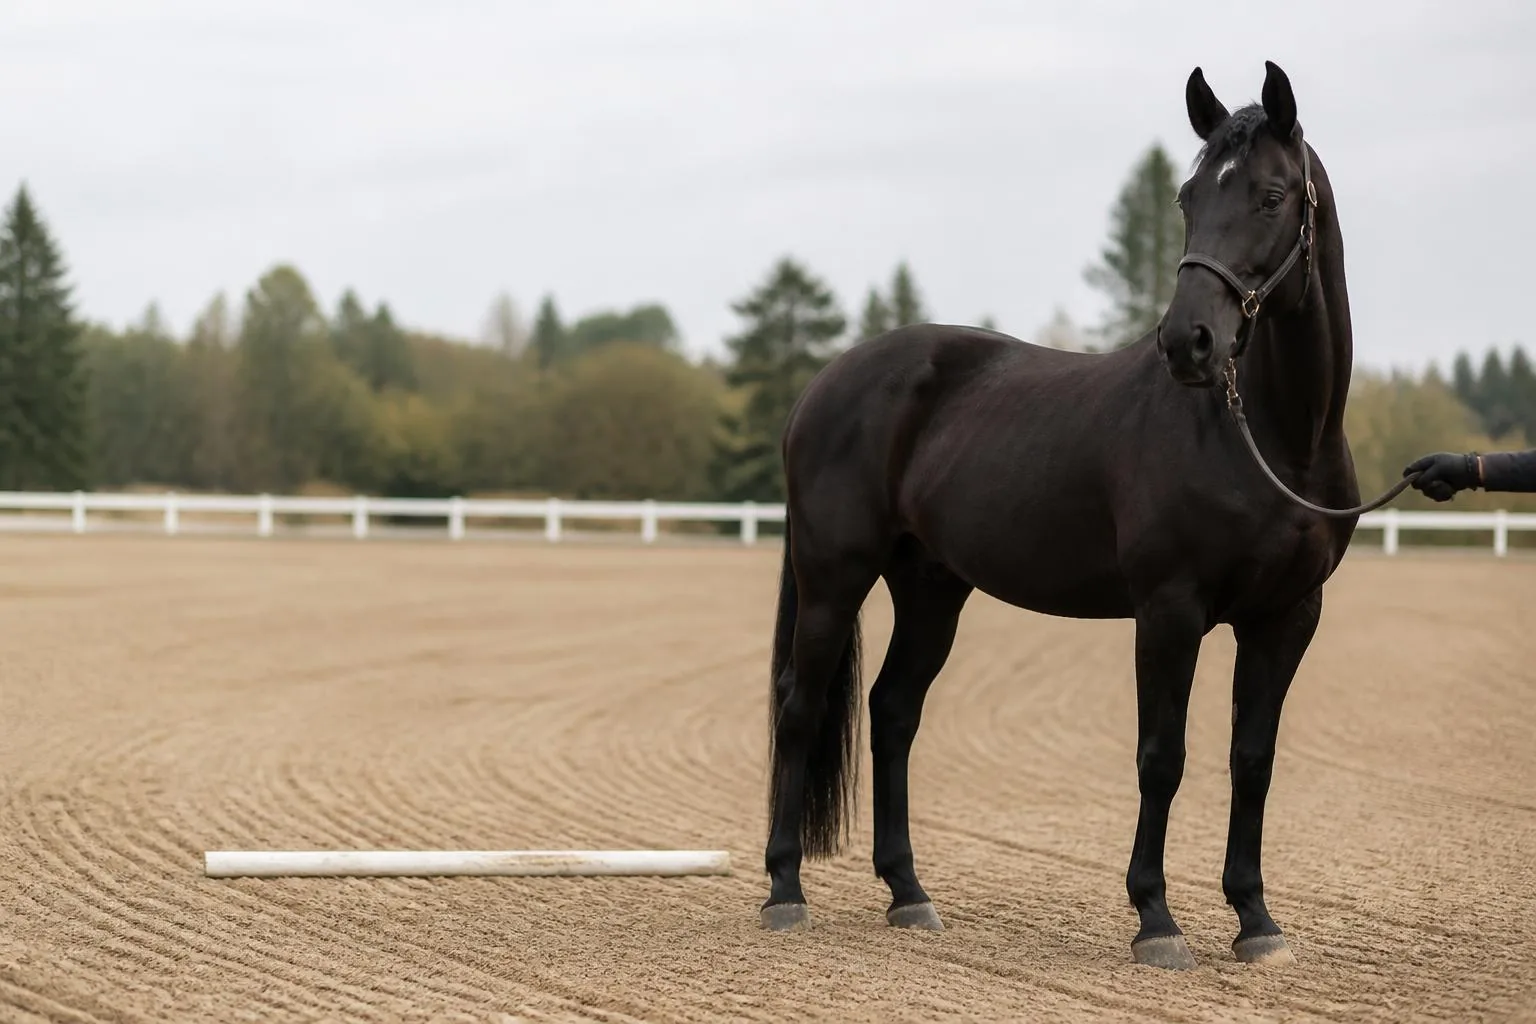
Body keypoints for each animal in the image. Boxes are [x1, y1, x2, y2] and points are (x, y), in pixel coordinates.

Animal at [759, 60, 1361, 970]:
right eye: (1187, 195)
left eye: (1270, 195)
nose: (1187, 341)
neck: (1271, 438)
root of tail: (824, 384)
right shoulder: (1170, 610)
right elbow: (1163, 757)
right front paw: (1157, 920)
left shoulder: (1289, 616)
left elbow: (1251, 759)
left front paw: (1256, 921)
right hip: (834, 577)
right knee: (801, 708)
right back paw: (785, 891)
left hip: (931, 588)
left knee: (893, 713)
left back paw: (909, 893)